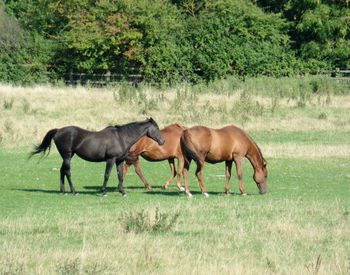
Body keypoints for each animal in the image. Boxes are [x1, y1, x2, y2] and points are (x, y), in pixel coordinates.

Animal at [29, 118, 164, 196]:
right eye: (156, 128)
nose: (162, 141)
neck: (121, 137)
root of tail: (58, 131)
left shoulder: (119, 161)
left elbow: (120, 175)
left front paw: (122, 192)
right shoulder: (110, 160)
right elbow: (107, 175)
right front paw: (103, 192)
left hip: (68, 156)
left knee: (62, 171)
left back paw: (63, 191)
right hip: (67, 156)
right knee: (67, 171)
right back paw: (74, 191)